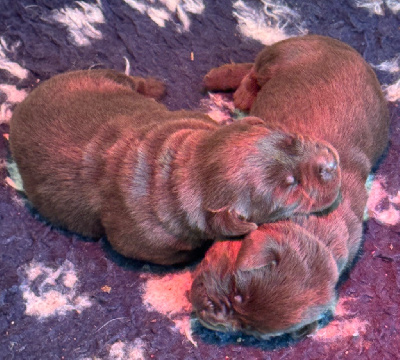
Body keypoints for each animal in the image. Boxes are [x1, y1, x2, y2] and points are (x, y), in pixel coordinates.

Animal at [8, 68, 340, 264]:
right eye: (290, 186)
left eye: (291, 139)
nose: (331, 165)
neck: (185, 168)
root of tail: (18, 109)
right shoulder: (146, 244)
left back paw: (154, 86)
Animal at [192, 34, 390, 338]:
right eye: (237, 291)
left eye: (248, 329)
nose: (211, 316)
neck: (306, 227)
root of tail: (345, 47)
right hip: (282, 56)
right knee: (254, 68)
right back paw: (233, 87)